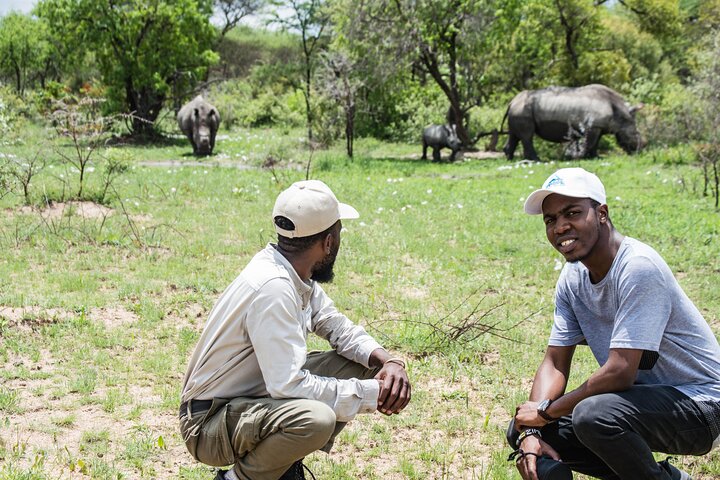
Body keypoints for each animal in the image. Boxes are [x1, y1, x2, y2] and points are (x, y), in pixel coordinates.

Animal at [502, 84, 644, 161]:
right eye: (635, 134)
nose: (640, 149)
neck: (619, 112)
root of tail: (511, 102)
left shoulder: (598, 126)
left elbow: (595, 143)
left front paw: (596, 157)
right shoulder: (593, 126)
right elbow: (590, 142)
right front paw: (582, 157)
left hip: (519, 109)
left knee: (514, 135)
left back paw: (510, 159)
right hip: (522, 110)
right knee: (527, 136)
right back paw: (537, 160)